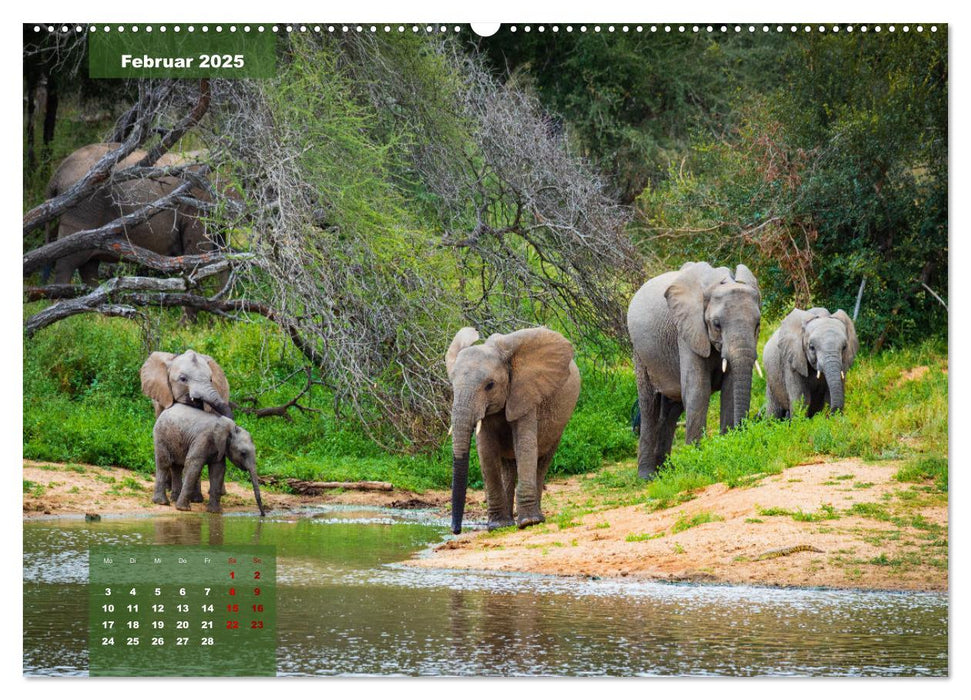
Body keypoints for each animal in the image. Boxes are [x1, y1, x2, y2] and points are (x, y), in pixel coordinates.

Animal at [44, 144, 221, 286]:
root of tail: (57, 174)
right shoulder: (195, 203)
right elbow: (197, 254)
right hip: (83, 209)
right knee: (68, 262)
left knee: (88, 265)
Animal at [446, 326, 580, 532]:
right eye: (452, 384)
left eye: (490, 385)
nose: (455, 530)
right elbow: (486, 451)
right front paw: (497, 526)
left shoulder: (526, 395)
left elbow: (525, 445)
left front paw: (528, 522)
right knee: (508, 467)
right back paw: (507, 521)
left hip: (560, 423)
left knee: (542, 460)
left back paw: (536, 518)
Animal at [628, 262, 764, 482]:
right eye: (716, 324)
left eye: (757, 324)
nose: (742, 434)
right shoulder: (687, 331)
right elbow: (698, 390)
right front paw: (696, 464)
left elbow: (729, 390)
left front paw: (727, 449)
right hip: (640, 355)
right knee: (649, 406)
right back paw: (648, 477)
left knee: (671, 411)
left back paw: (666, 471)